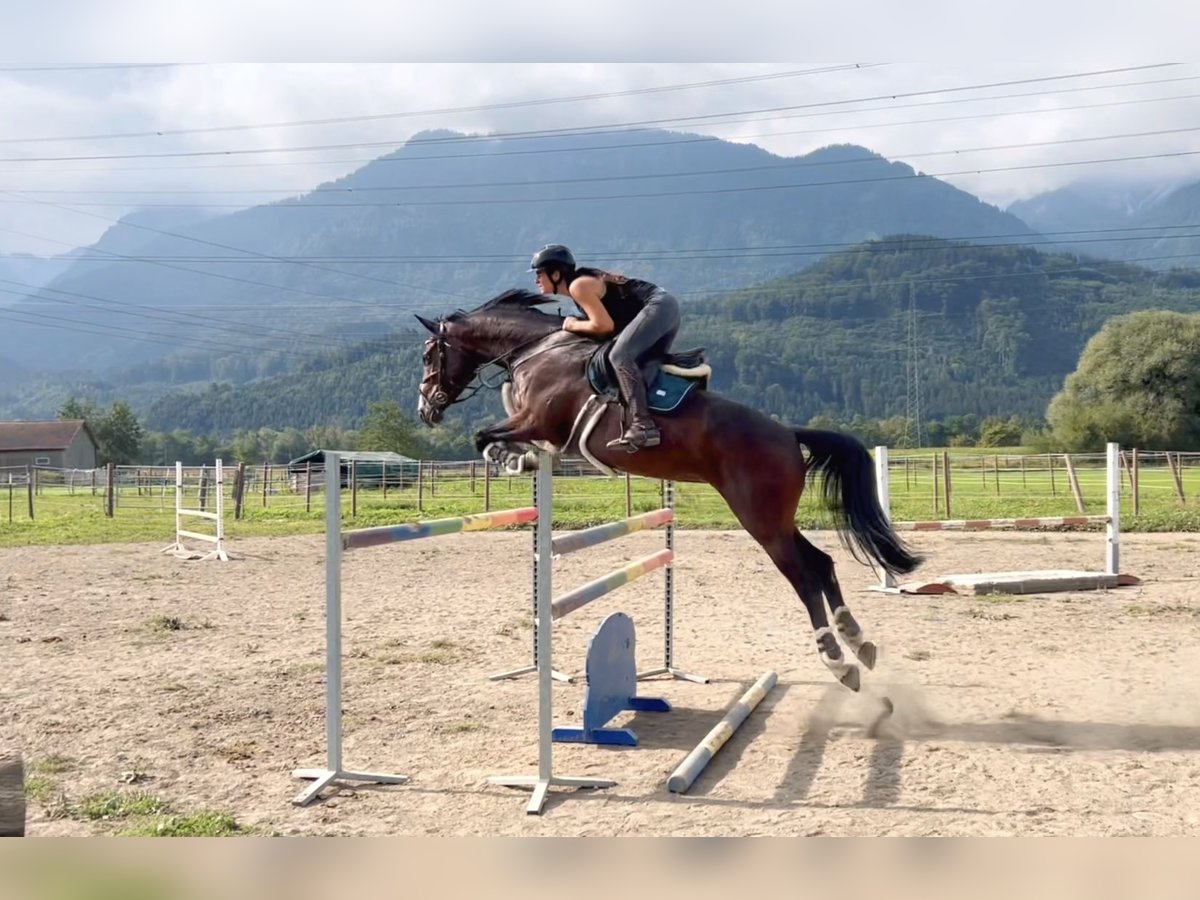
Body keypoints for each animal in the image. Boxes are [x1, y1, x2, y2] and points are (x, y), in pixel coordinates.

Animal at [417, 286, 921, 691]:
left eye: (428, 355)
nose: (426, 409)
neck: (537, 350)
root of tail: (787, 433)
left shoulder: (538, 420)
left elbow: (485, 436)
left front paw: (513, 459)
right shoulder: (536, 425)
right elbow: (494, 436)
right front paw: (516, 458)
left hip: (759, 518)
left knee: (804, 575)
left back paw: (838, 660)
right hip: (774, 517)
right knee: (822, 562)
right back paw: (858, 641)